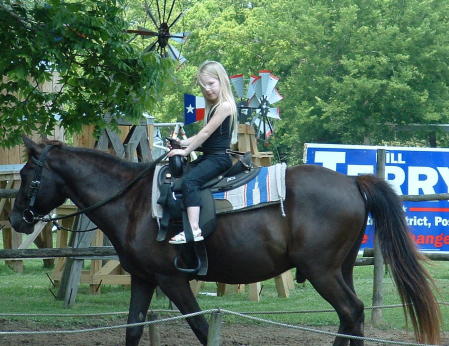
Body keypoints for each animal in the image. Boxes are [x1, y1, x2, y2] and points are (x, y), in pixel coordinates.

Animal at [8, 139, 440, 346]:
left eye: (29, 177)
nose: (15, 219)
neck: (134, 203)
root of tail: (352, 181)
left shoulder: (172, 280)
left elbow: (201, 328)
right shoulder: (144, 279)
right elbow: (132, 329)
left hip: (323, 271)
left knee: (351, 311)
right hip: (341, 268)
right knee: (353, 317)